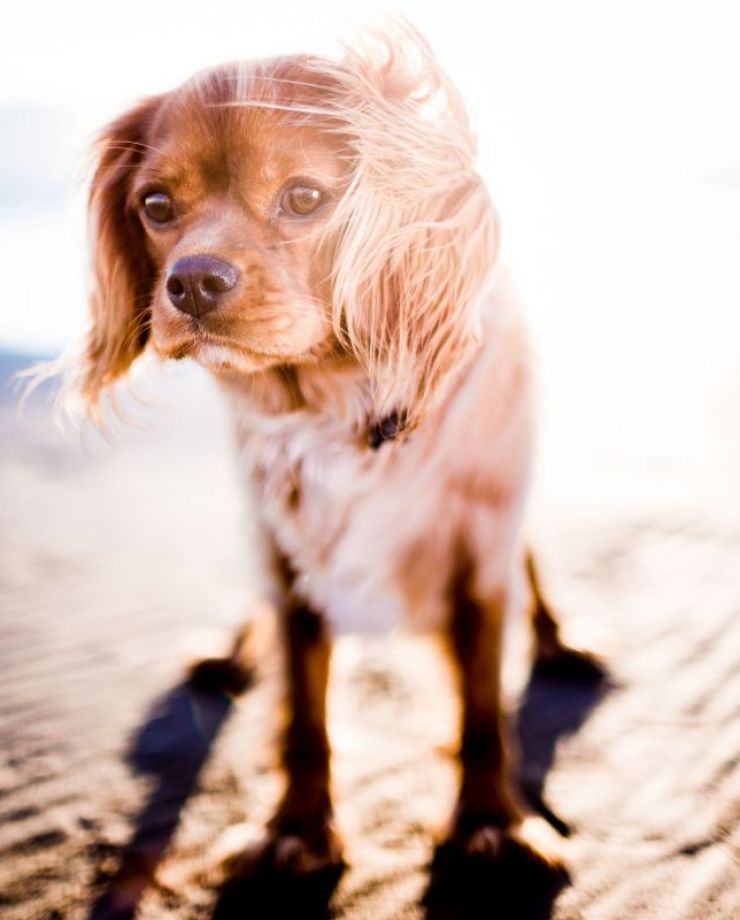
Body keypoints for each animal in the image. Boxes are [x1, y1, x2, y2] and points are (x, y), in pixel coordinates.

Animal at [50, 25, 600, 880]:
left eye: (306, 197)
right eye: (156, 206)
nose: (191, 283)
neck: (334, 402)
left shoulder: (479, 549)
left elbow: (481, 706)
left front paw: (492, 824)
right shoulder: (285, 552)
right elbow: (304, 712)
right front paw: (297, 829)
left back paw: (559, 640)